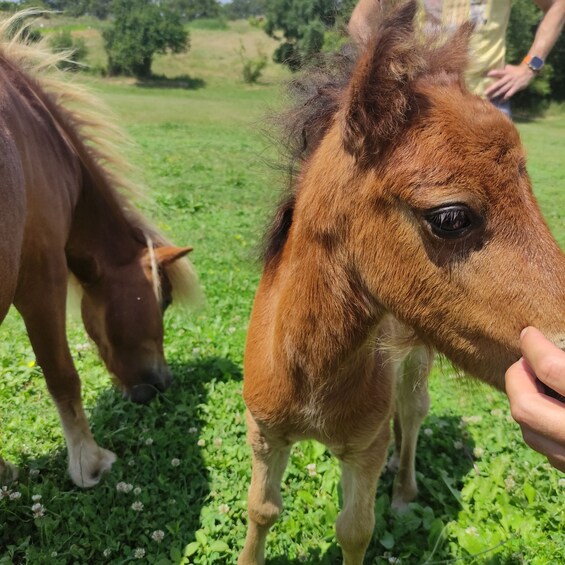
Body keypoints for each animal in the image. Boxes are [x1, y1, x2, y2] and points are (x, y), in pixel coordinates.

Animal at [240, 2, 564, 560]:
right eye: (451, 218)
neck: (307, 371)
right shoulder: (263, 433)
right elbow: (261, 510)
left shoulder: (363, 448)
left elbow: (356, 529)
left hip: (418, 359)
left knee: (412, 413)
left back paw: (405, 489)